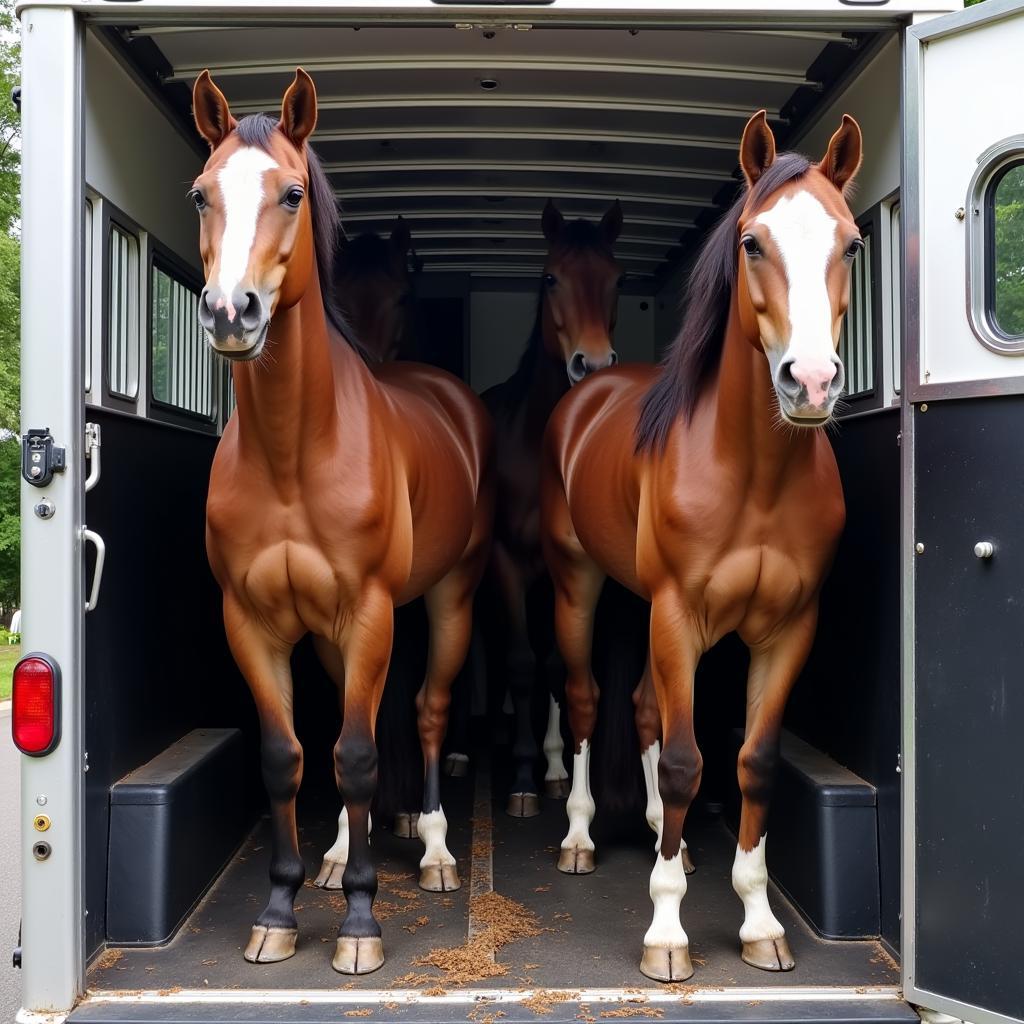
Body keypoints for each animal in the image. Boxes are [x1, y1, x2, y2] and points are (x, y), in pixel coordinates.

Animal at [540, 112, 860, 983]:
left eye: (852, 244)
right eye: (752, 242)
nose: (810, 383)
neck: (755, 473)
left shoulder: (789, 630)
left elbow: (752, 761)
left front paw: (757, 921)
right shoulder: (678, 617)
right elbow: (688, 761)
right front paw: (666, 933)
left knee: (647, 711)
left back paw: (666, 838)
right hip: (580, 587)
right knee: (587, 700)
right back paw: (580, 836)